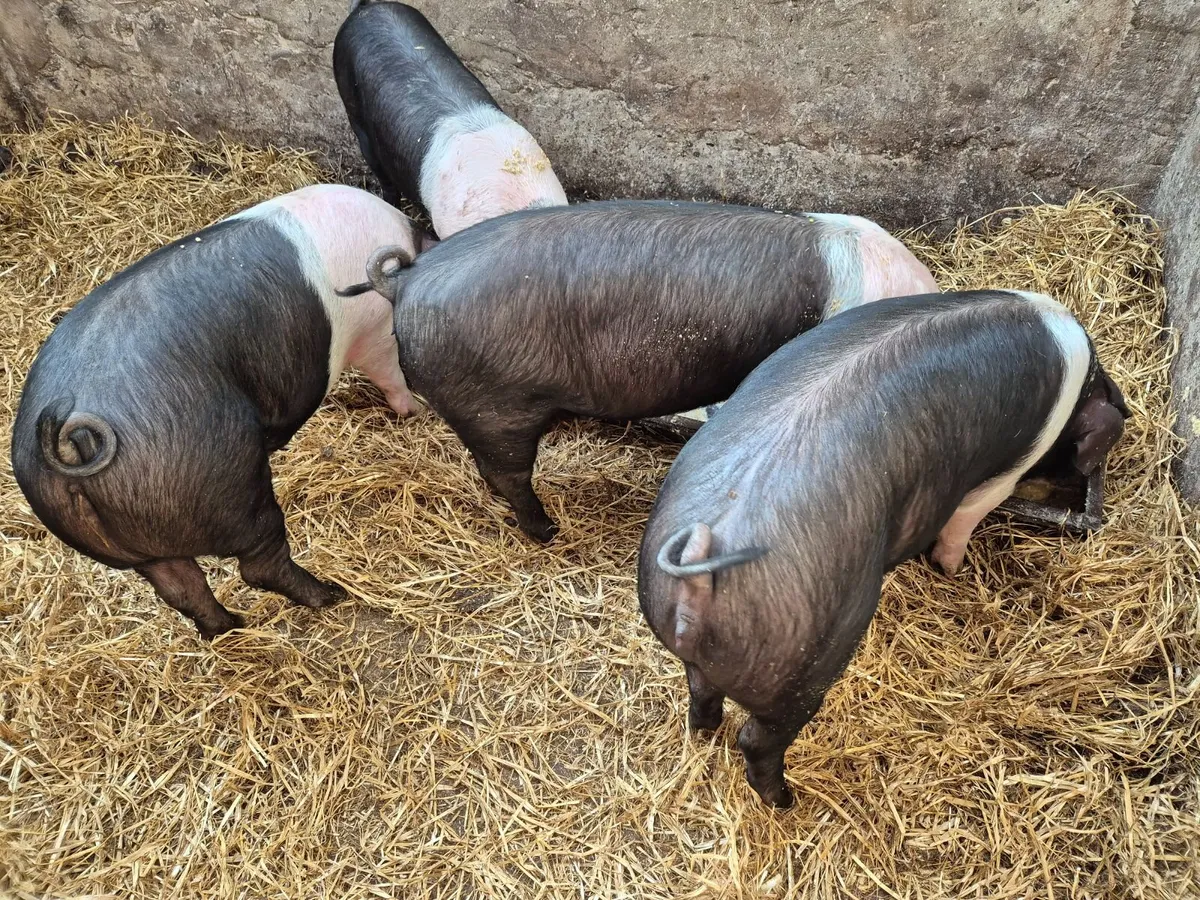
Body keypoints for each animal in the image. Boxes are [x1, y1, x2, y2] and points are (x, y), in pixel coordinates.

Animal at [11, 184, 428, 638]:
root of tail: (67, 441)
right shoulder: (375, 330)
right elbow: (390, 371)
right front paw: (416, 410)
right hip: (231, 484)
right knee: (258, 565)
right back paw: (330, 595)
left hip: (142, 546)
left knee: (181, 588)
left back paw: (228, 627)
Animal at [637, 290, 1130, 808]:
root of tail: (700, 564)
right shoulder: (1003, 474)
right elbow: (966, 517)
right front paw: (953, 570)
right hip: (800, 668)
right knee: (757, 740)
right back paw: (787, 801)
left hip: (699, 650)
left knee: (700, 695)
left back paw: (703, 735)